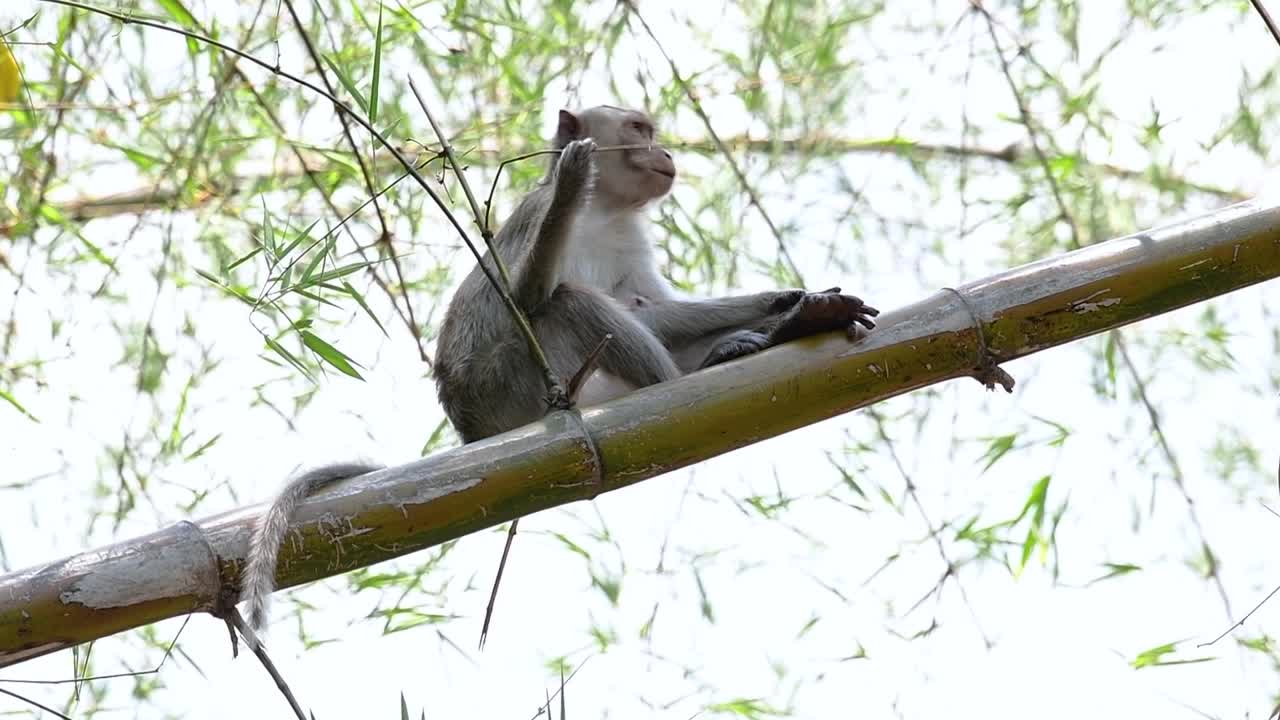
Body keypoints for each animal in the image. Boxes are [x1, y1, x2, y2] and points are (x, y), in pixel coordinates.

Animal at [240, 104, 878, 640]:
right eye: (640, 129)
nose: (667, 153)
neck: (607, 211)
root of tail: (473, 432)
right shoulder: (533, 215)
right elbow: (528, 295)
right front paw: (573, 180)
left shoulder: (630, 240)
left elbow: (654, 308)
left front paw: (789, 302)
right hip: (513, 384)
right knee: (567, 300)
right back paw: (679, 382)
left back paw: (762, 338)